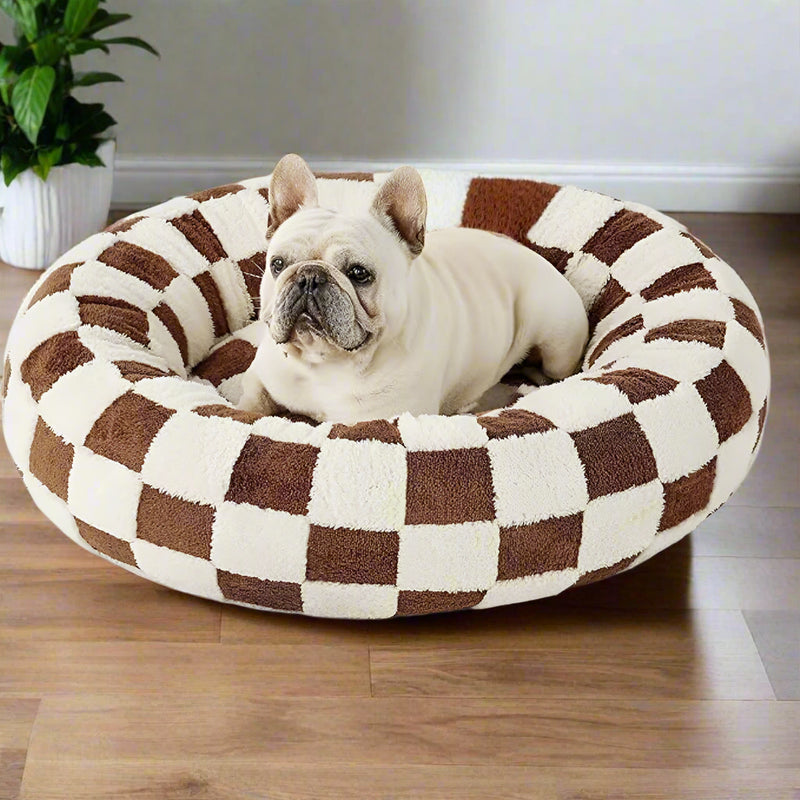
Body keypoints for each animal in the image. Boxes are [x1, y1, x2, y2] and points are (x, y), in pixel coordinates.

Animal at [238, 152, 588, 424]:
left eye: (359, 273)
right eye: (278, 264)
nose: (309, 277)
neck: (322, 363)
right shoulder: (258, 378)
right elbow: (249, 408)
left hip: (556, 340)